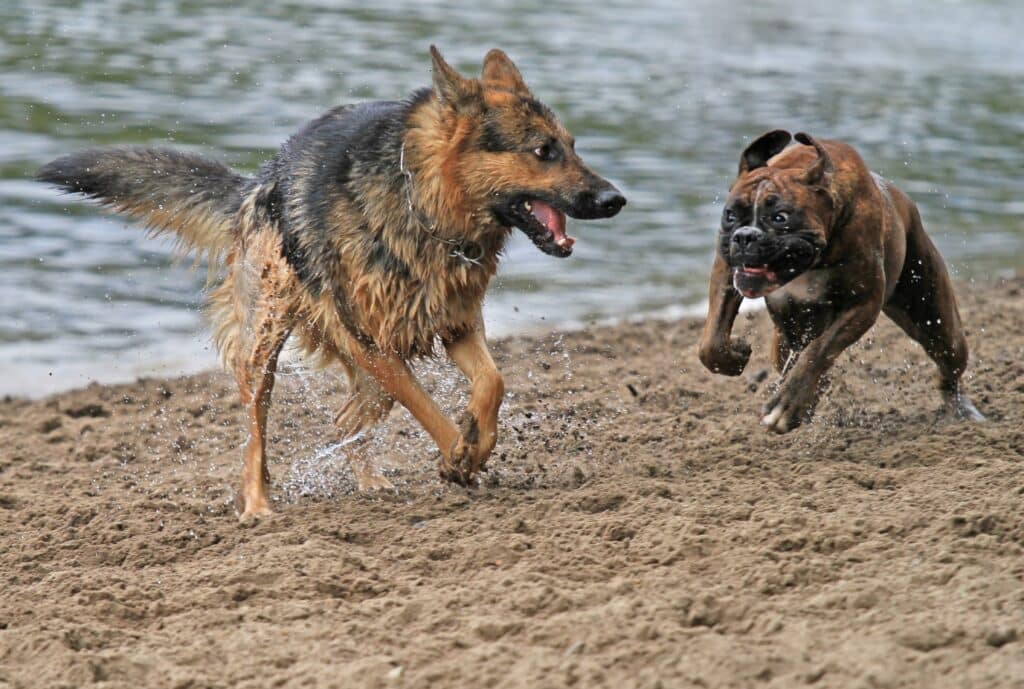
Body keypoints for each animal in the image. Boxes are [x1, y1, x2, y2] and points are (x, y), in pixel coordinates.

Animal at [37, 48, 622, 518]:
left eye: (572, 145)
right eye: (543, 151)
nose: (615, 200)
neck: (424, 205)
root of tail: (259, 184)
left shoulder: (454, 326)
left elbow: (492, 384)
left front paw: (475, 444)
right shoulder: (371, 342)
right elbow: (426, 406)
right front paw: (458, 453)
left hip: (358, 363)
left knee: (347, 421)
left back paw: (369, 481)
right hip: (268, 346)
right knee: (257, 430)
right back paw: (258, 503)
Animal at [696, 130, 983, 429]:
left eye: (780, 217)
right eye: (730, 215)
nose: (745, 236)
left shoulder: (862, 304)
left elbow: (818, 352)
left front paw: (789, 403)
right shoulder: (726, 270)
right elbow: (711, 341)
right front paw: (734, 355)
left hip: (934, 320)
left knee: (949, 363)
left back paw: (961, 407)